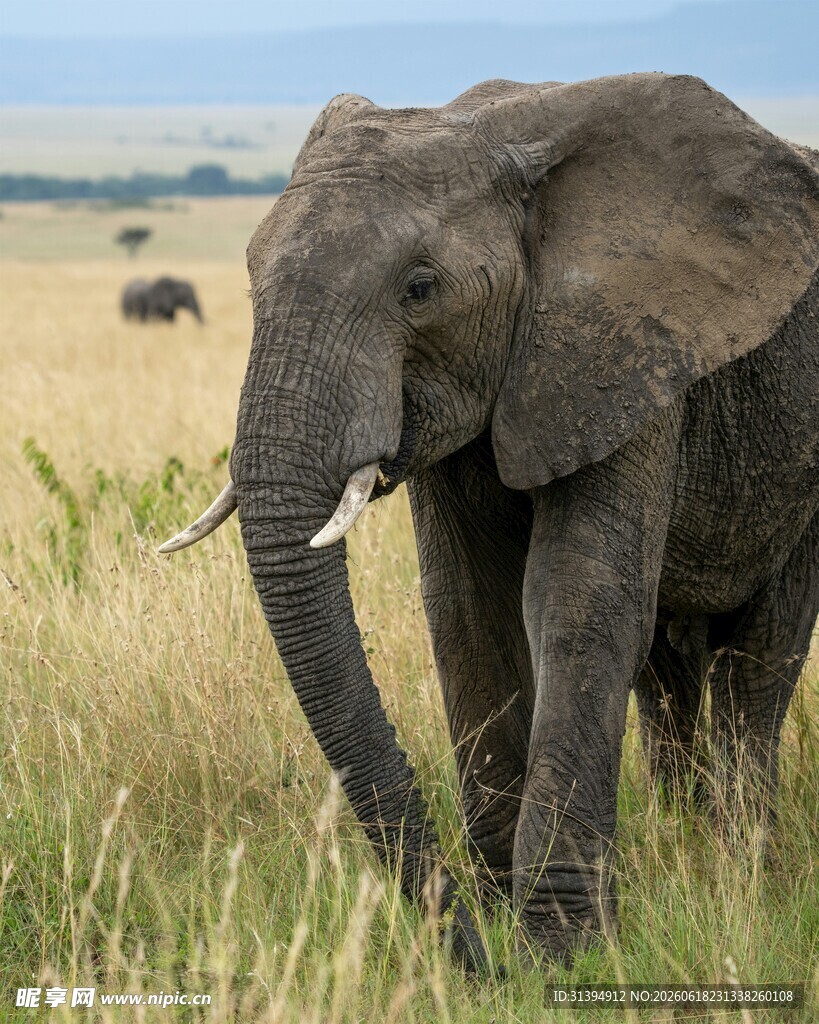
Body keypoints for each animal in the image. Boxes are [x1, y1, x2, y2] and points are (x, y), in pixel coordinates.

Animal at [158, 74, 819, 969]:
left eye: (419, 288)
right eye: (252, 277)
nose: (469, 952)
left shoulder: (622, 350)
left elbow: (575, 603)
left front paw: (564, 952)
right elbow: (469, 611)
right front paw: (512, 925)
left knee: (759, 656)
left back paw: (739, 869)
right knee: (665, 669)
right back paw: (685, 849)